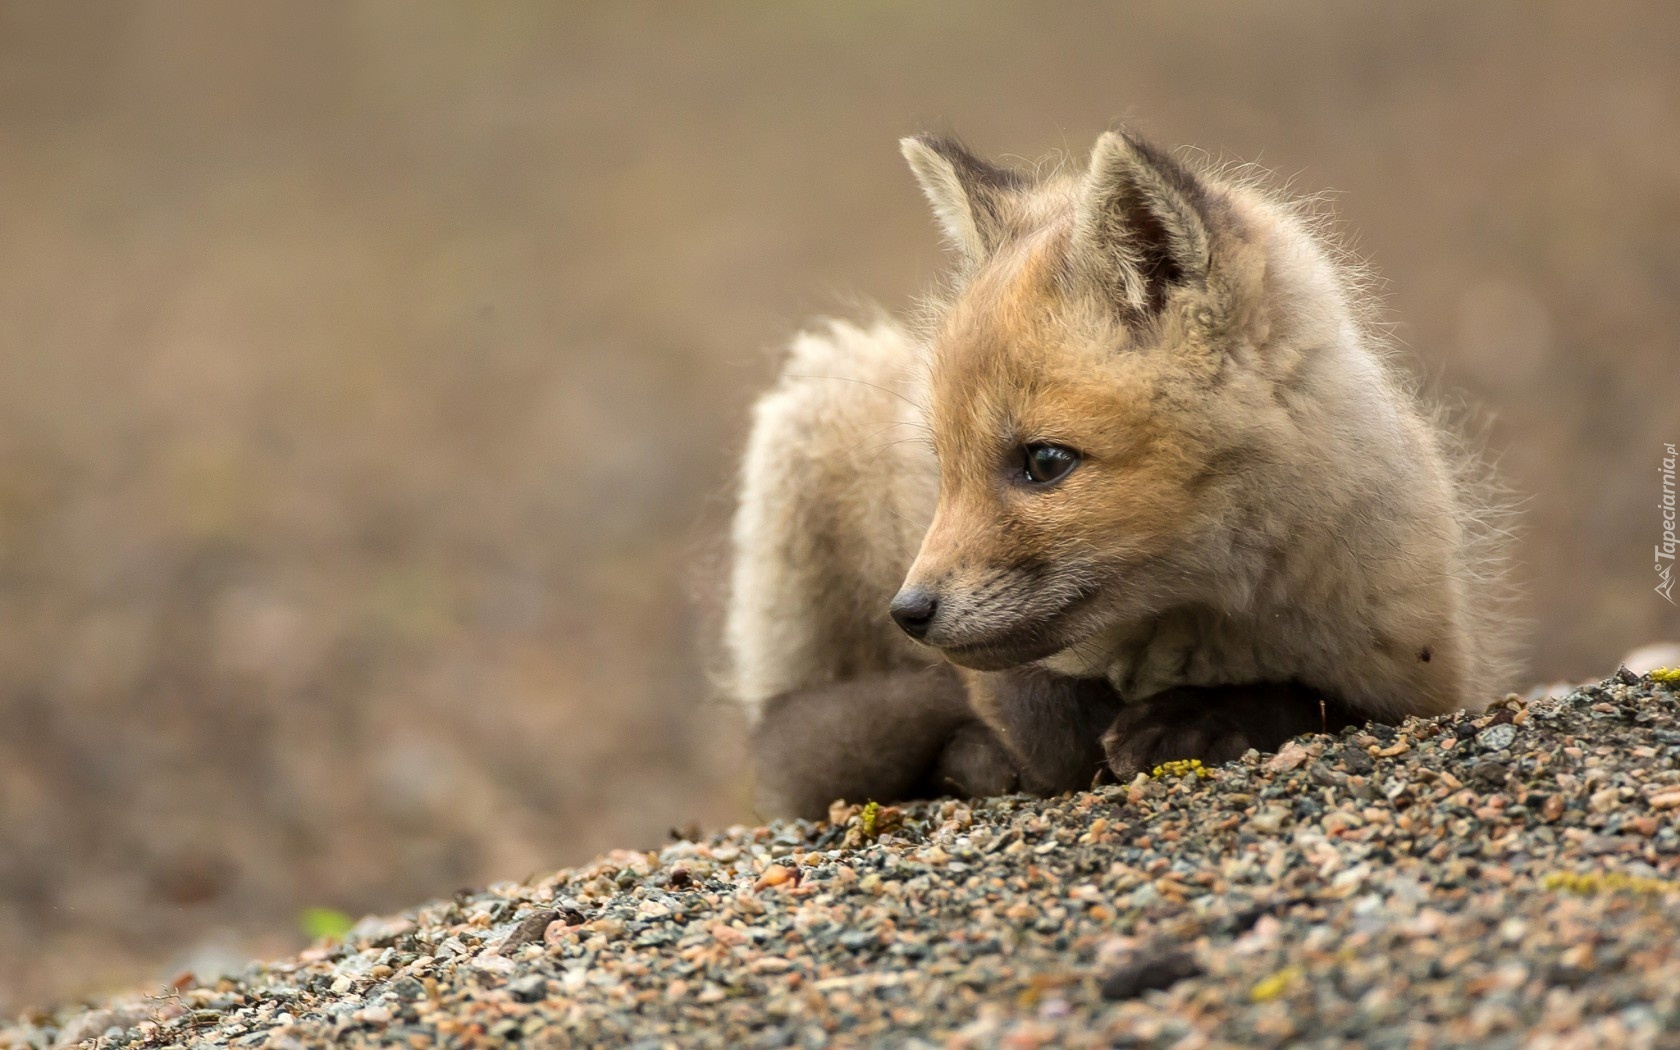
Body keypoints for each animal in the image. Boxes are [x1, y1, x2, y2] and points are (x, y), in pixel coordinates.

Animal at [729, 129, 1518, 819]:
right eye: (943, 467)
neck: (1200, 620)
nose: (909, 611)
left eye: (1044, 463)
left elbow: (1308, 701)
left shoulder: (1421, 673)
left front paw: (1199, 720)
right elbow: (1029, 712)